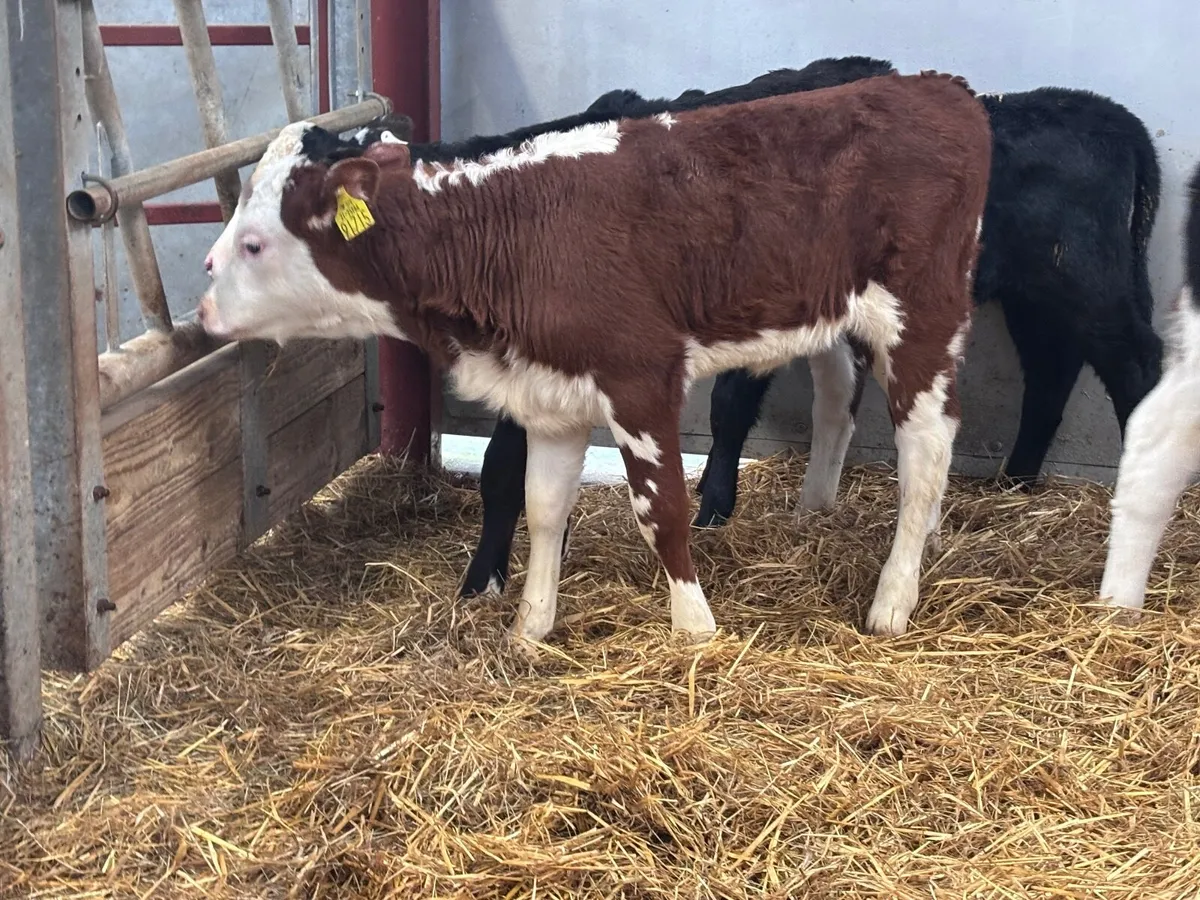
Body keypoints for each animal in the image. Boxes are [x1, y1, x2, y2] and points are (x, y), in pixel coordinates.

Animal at [197, 72, 993, 643]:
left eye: (254, 243)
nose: (201, 308)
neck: (511, 228)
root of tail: (939, 87)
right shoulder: (550, 393)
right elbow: (542, 506)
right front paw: (529, 628)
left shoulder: (640, 374)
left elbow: (661, 509)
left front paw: (695, 630)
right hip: (836, 316)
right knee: (848, 401)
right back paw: (838, 514)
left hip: (921, 317)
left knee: (926, 449)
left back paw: (892, 599)